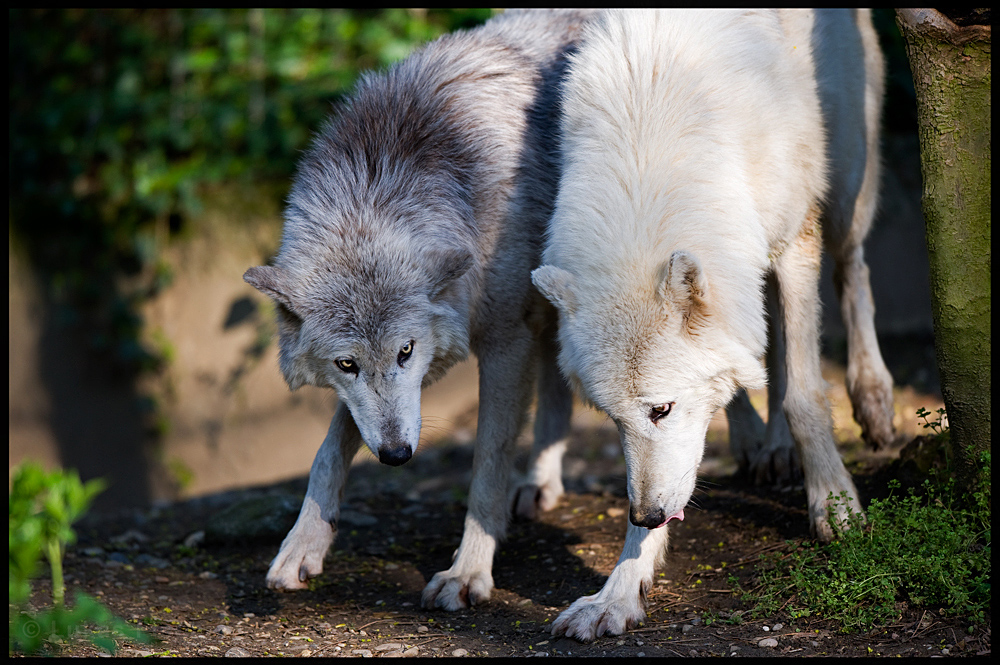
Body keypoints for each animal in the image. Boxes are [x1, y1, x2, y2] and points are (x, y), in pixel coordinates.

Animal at [243, 9, 592, 612]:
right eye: (347, 365)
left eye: (406, 351)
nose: (397, 456)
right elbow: (329, 448)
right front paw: (302, 546)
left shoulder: (506, 342)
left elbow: (487, 464)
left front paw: (468, 572)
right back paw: (540, 485)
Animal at [536, 9, 896, 640]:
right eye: (612, 419)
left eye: (661, 409)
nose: (645, 512)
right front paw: (617, 593)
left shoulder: (796, 240)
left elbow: (805, 397)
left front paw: (835, 505)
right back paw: (767, 446)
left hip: (847, 183)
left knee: (854, 271)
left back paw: (872, 396)